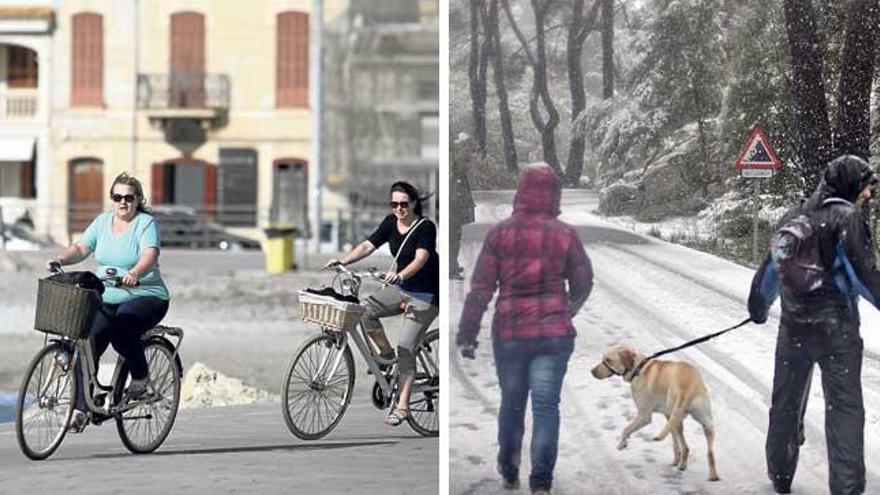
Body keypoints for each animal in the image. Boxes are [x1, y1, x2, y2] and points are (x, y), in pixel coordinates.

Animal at [592, 346, 720, 482]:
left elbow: (626, 429)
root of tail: (686, 387)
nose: (592, 371)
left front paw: (622, 444)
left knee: (685, 446)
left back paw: (682, 464)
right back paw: (711, 475)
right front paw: (676, 459)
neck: (639, 367)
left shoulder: (644, 416)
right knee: (707, 451)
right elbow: (675, 443)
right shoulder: (667, 418)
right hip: (705, 423)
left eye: (608, 360)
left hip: (675, 417)